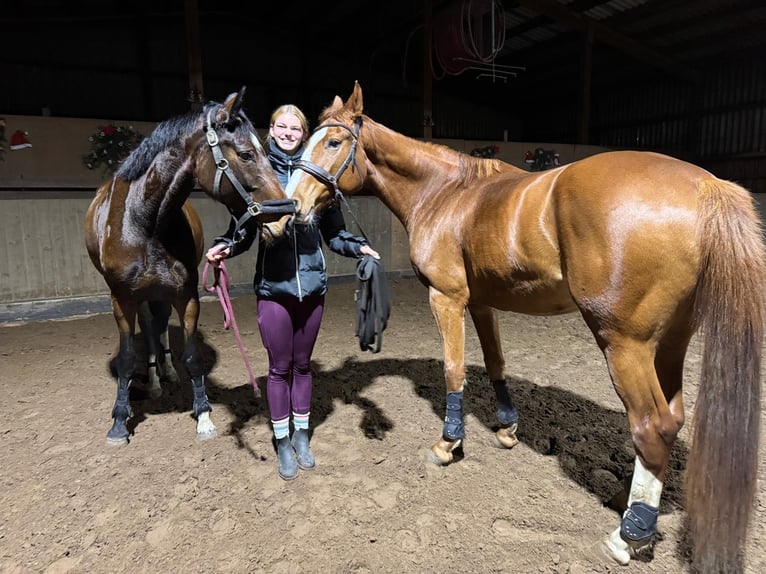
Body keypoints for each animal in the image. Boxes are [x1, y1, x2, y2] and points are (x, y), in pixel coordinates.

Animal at [85, 90, 288, 448]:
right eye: (246, 154)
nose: (284, 217)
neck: (145, 223)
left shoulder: (186, 296)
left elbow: (193, 358)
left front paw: (204, 416)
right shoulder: (121, 300)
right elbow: (126, 360)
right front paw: (119, 422)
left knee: (159, 326)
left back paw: (165, 372)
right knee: (150, 329)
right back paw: (154, 380)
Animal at [280, 82, 766, 574]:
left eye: (333, 142)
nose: (293, 206)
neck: (444, 194)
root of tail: (705, 185)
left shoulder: (447, 298)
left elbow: (454, 370)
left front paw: (448, 444)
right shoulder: (481, 303)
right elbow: (495, 362)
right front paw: (507, 428)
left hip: (624, 343)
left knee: (652, 426)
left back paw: (628, 536)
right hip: (671, 342)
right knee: (673, 419)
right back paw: (624, 500)